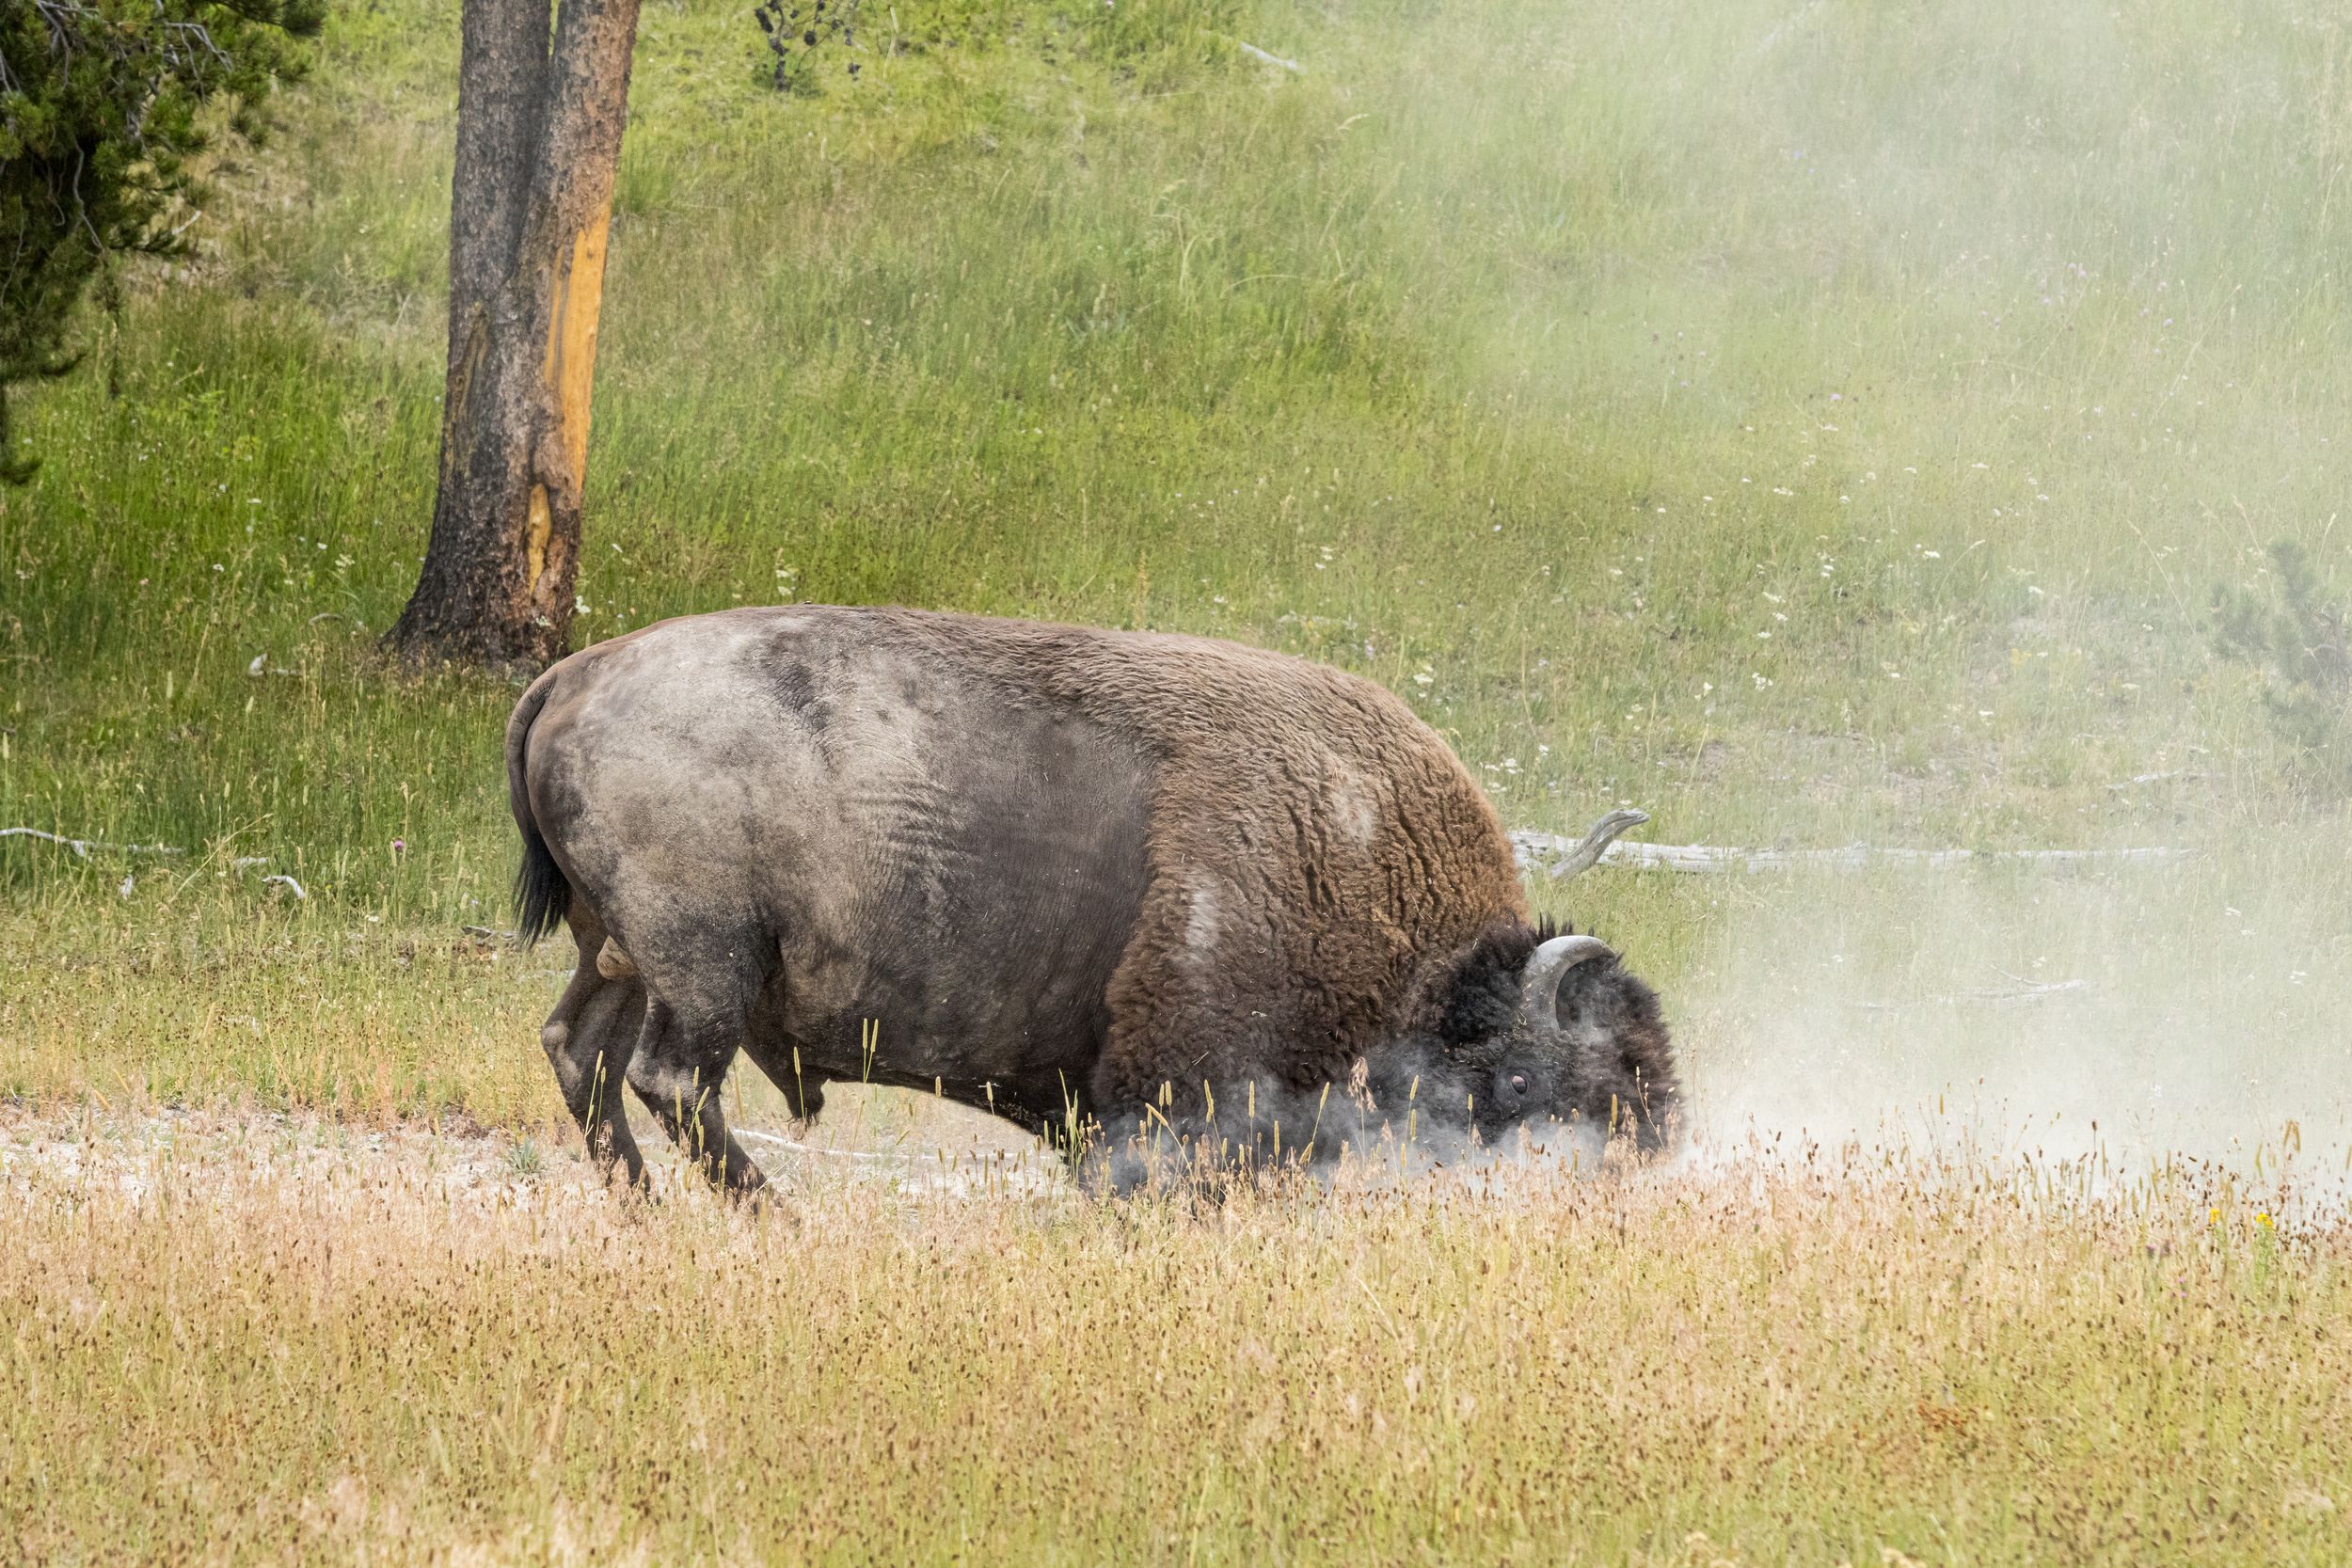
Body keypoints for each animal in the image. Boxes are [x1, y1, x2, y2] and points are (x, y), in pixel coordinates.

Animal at [506, 606, 1677, 1195]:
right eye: (1524, 1077)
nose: (1644, 1158)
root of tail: (572, 676)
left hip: (620, 953)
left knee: (580, 1053)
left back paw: (646, 1210)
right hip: (702, 961)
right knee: (669, 1079)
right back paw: (772, 1220)